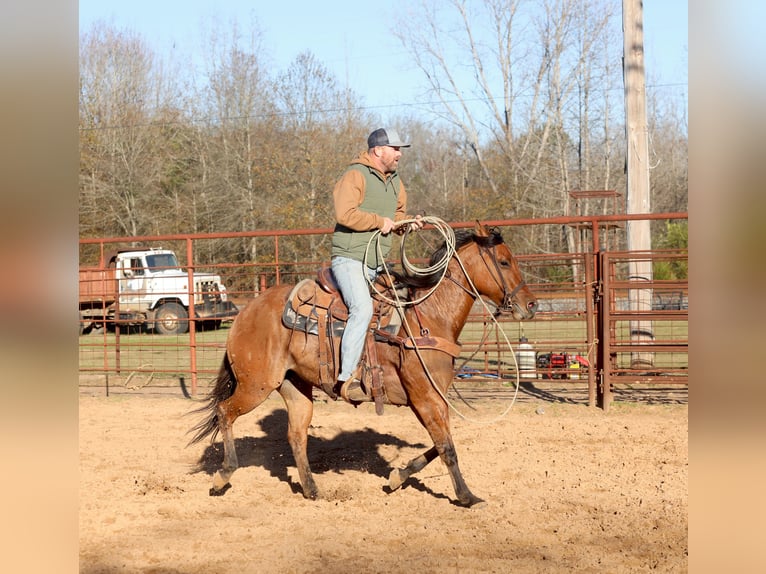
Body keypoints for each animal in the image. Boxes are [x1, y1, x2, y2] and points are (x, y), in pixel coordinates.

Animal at [190, 220, 540, 508]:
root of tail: (244, 313)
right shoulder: (424, 397)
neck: (429, 317)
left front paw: (398, 477)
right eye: (504, 261)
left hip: (295, 387)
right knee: (225, 412)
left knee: (296, 434)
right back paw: (223, 476)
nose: (532, 305)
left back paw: (311, 489)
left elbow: (439, 444)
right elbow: (446, 447)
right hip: (256, 385)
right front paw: (467, 496)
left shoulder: (431, 399)